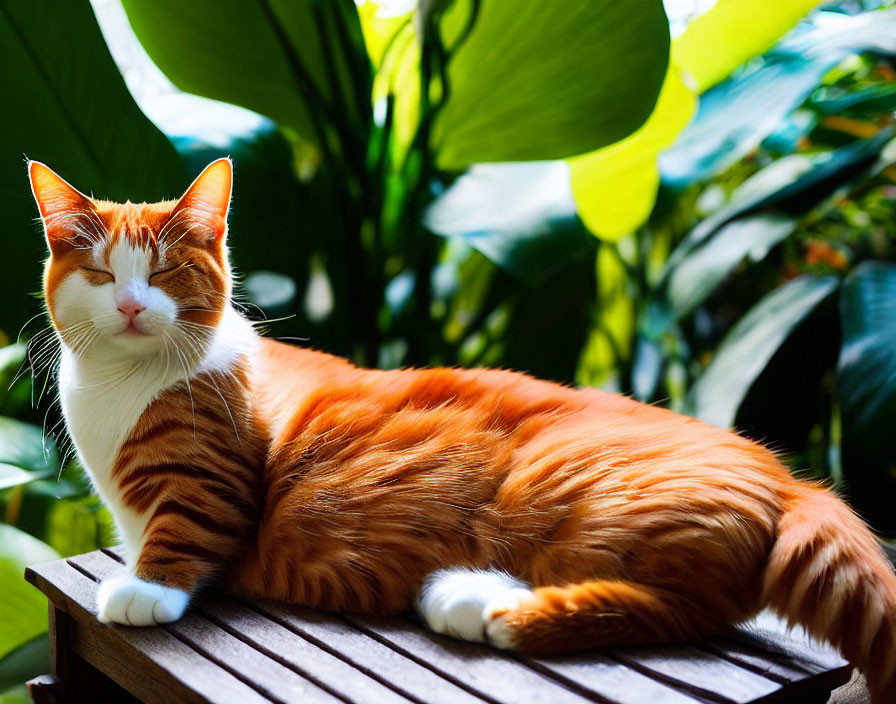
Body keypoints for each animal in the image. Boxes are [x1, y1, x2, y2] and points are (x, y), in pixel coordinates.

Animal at [28, 157, 896, 700]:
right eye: (102, 273)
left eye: (166, 271)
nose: (131, 305)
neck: (118, 388)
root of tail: (787, 476)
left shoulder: (214, 482)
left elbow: (184, 531)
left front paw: (147, 586)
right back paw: (472, 593)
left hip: (579, 500)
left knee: (682, 608)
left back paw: (493, 611)